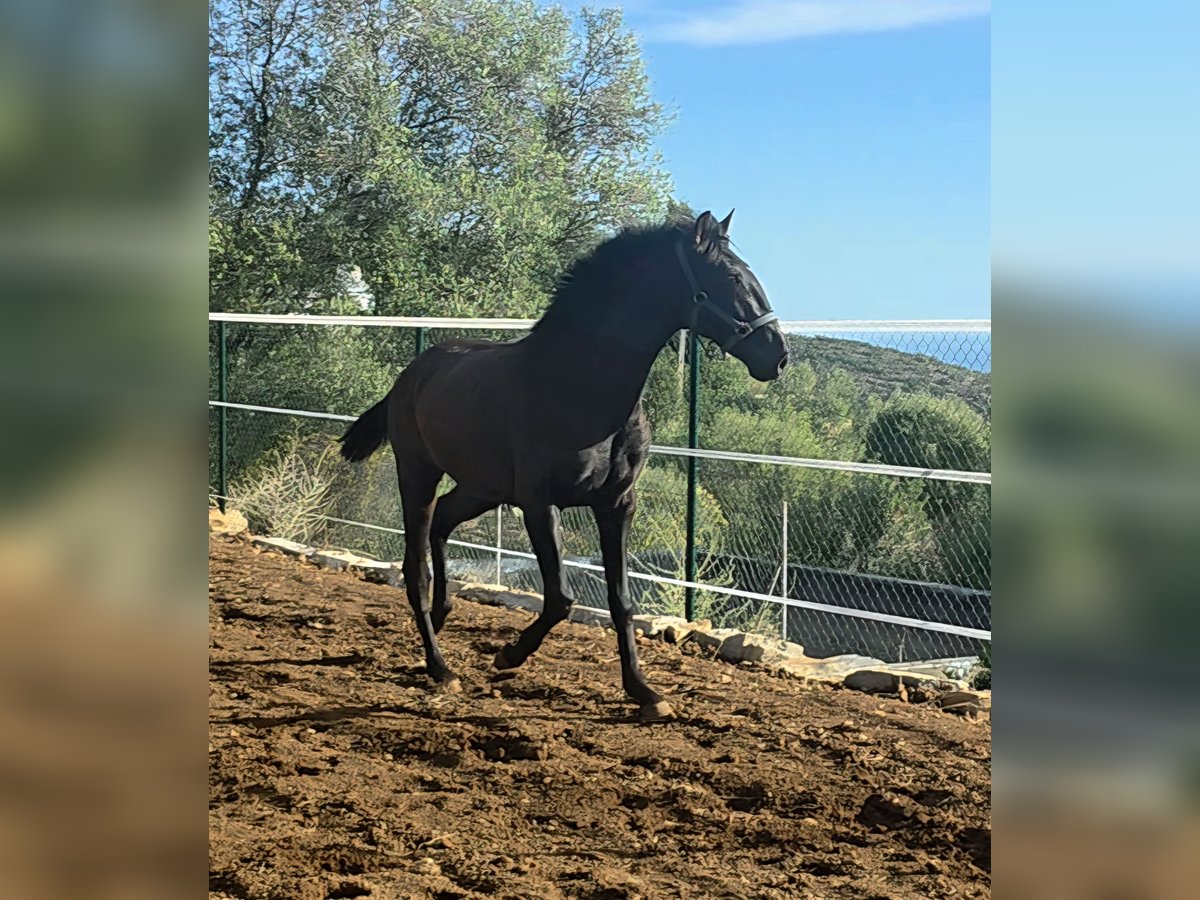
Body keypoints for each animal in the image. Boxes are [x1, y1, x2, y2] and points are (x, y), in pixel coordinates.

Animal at [339, 210, 788, 720]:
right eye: (731, 277)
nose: (778, 356)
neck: (580, 387)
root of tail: (411, 375)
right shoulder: (540, 504)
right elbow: (560, 600)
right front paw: (507, 655)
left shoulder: (617, 504)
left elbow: (620, 600)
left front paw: (645, 693)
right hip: (417, 475)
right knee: (415, 569)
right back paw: (441, 668)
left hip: (480, 489)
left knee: (441, 527)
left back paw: (441, 617)